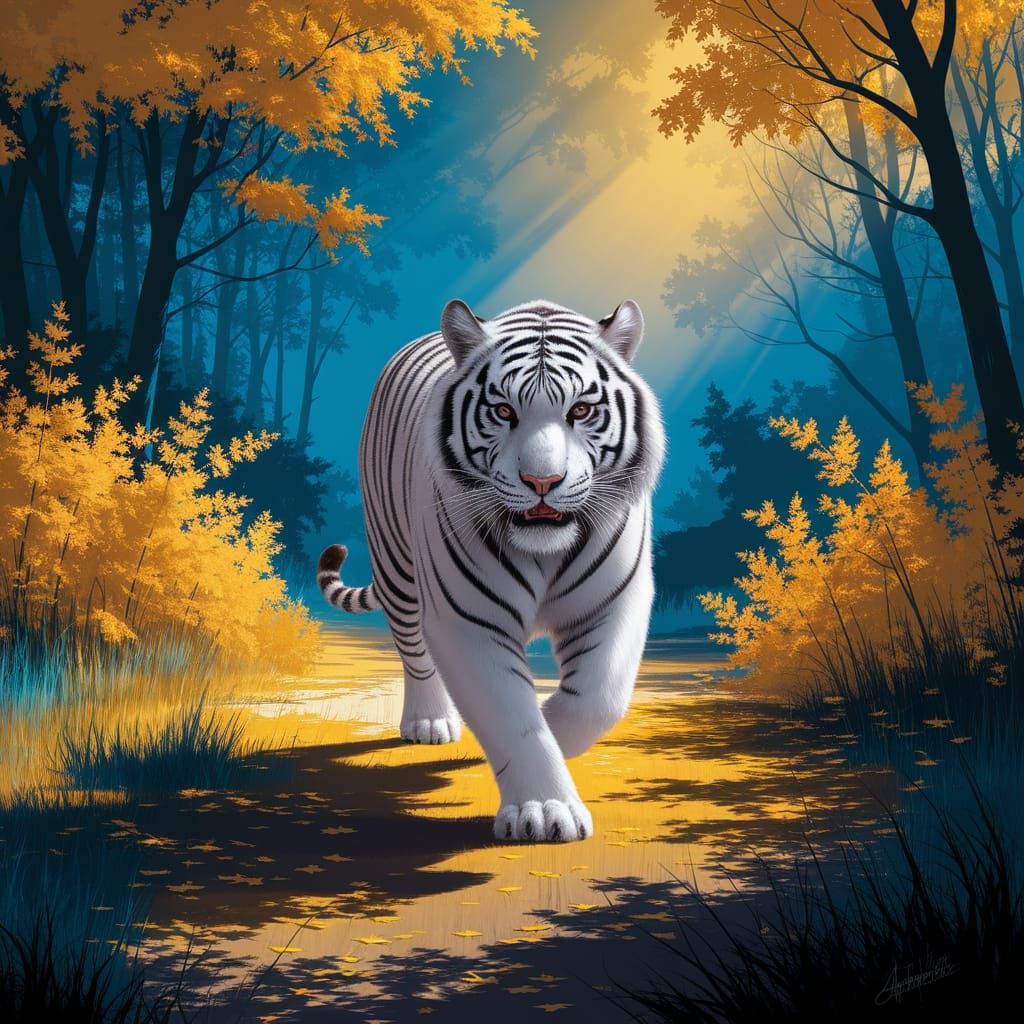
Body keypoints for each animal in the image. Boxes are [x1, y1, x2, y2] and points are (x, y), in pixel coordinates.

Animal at [317, 298, 665, 843]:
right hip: (397, 567)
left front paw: (554, 731)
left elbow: (598, 698)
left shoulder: (614, 602)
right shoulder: (470, 620)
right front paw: (543, 809)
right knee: (414, 651)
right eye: (503, 411)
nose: (543, 482)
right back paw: (430, 721)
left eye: (581, 410)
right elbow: (511, 717)